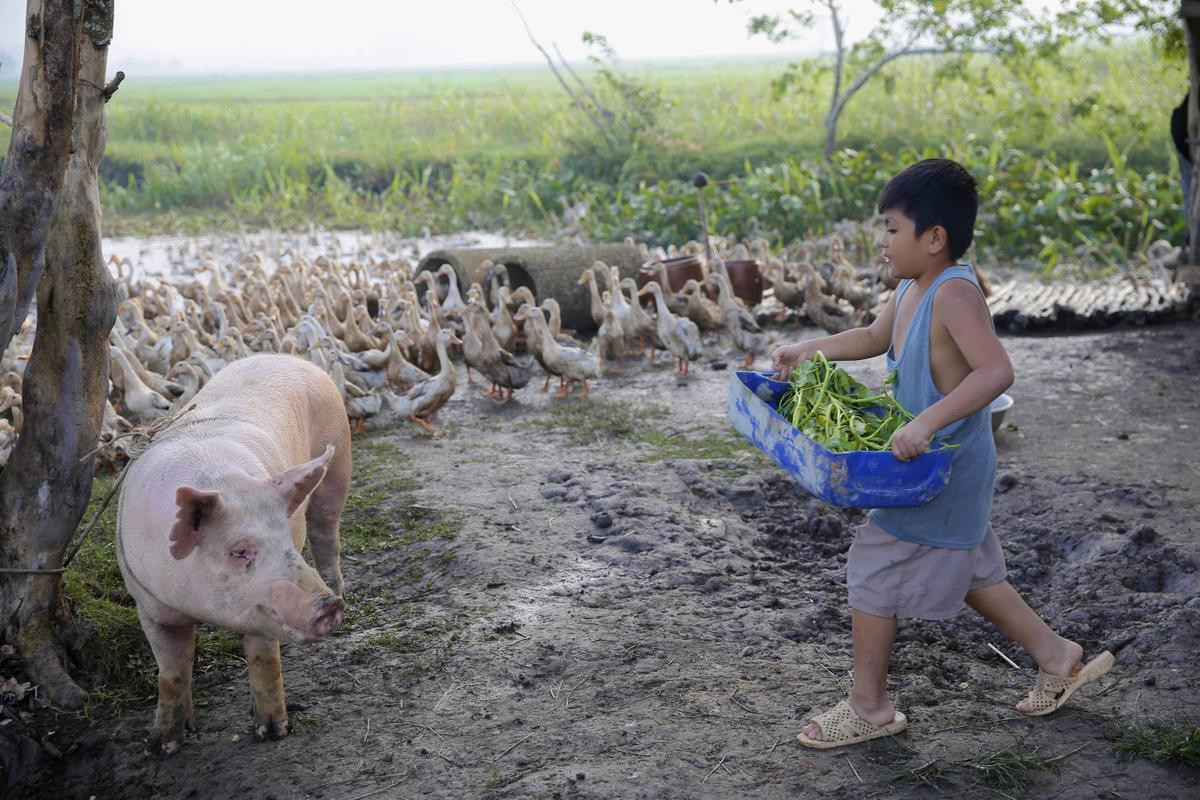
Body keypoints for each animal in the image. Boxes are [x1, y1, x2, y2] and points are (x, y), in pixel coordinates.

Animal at [115, 352, 350, 753]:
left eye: (287, 540)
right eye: (239, 551)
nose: (327, 607)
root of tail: (289, 357)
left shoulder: (264, 606)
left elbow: (262, 657)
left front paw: (273, 732)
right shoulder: (148, 603)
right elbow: (172, 671)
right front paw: (162, 746)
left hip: (338, 460)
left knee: (326, 533)